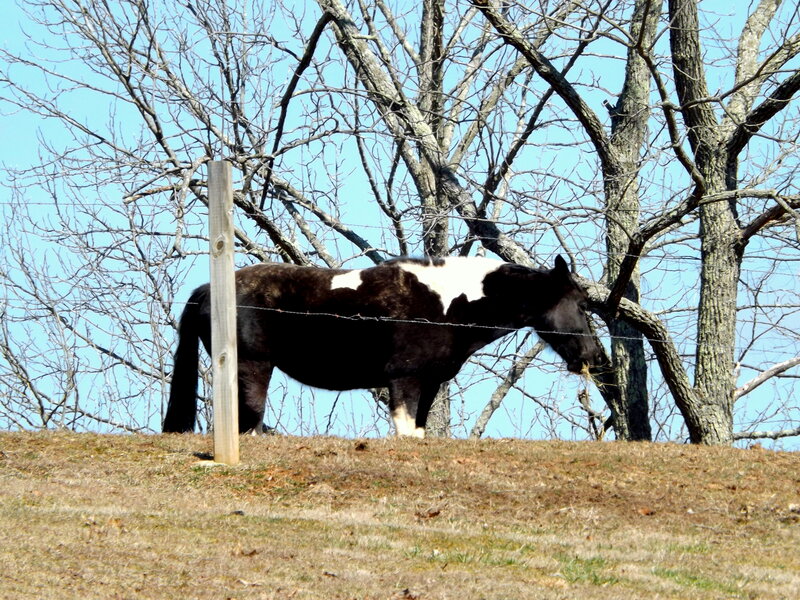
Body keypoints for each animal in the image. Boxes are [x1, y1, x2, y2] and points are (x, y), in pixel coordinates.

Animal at [162, 255, 604, 437]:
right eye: (582, 304)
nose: (593, 357)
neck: (445, 303)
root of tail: (208, 289)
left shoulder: (428, 386)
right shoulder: (404, 382)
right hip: (252, 368)